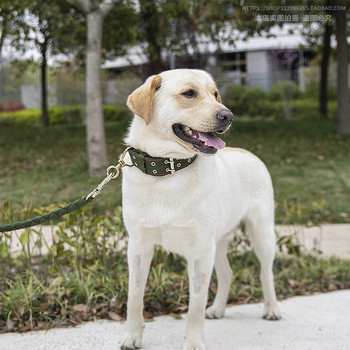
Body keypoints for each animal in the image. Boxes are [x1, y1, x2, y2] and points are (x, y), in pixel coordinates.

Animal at [120, 69, 278, 350]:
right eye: (189, 93)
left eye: (215, 94)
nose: (228, 115)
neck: (168, 171)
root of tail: (249, 153)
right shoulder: (138, 246)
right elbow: (134, 295)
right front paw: (132, 335)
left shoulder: (200, 253)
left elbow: (195, 306)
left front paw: (193, 342)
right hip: (219, 243)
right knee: (227, 274)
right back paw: (218, 309)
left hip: (260, 234)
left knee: (265, 273)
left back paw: (271, 308)